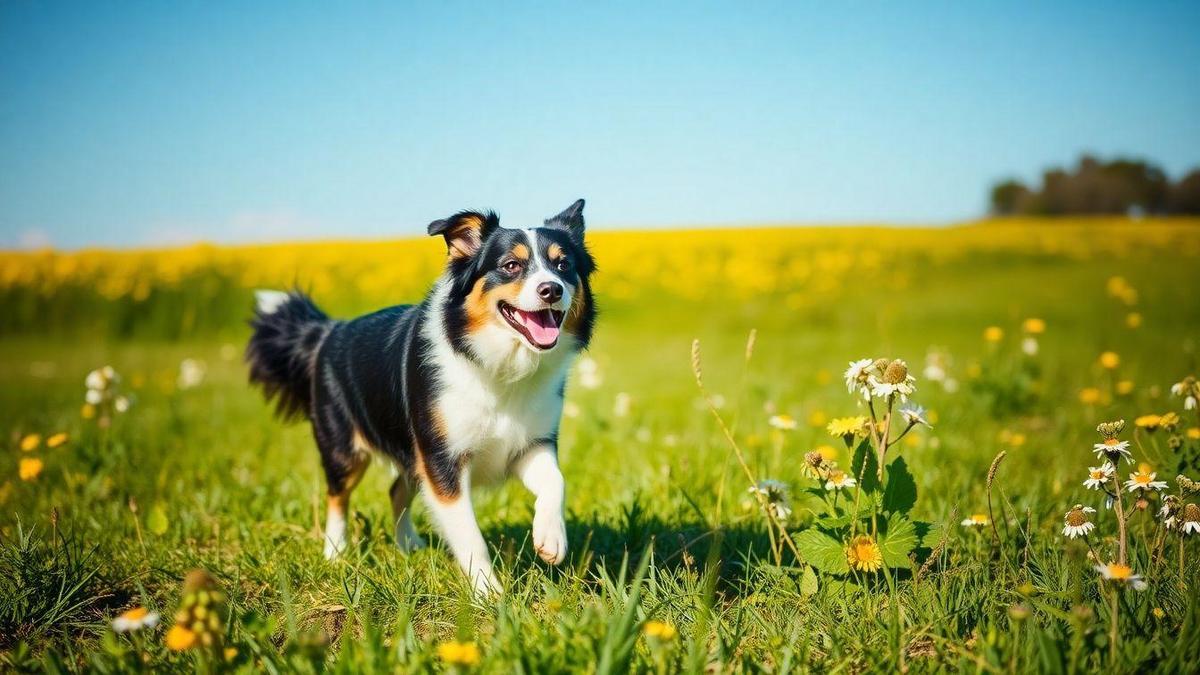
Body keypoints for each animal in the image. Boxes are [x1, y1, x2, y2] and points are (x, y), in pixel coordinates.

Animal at [244, 198, 595, 588]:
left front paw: (551, 539)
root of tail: (327, 331)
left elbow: (555, 481)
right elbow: (470, 535)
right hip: (344, 447)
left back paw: (409, 546)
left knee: (396, 489)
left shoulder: (530, 443)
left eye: (563, 265)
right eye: (510, 266)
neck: (499, 365)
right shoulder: (442, 460)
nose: (552, 289)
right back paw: (336, 553)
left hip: (412, 454)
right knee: (337, 495)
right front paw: (489, 593)